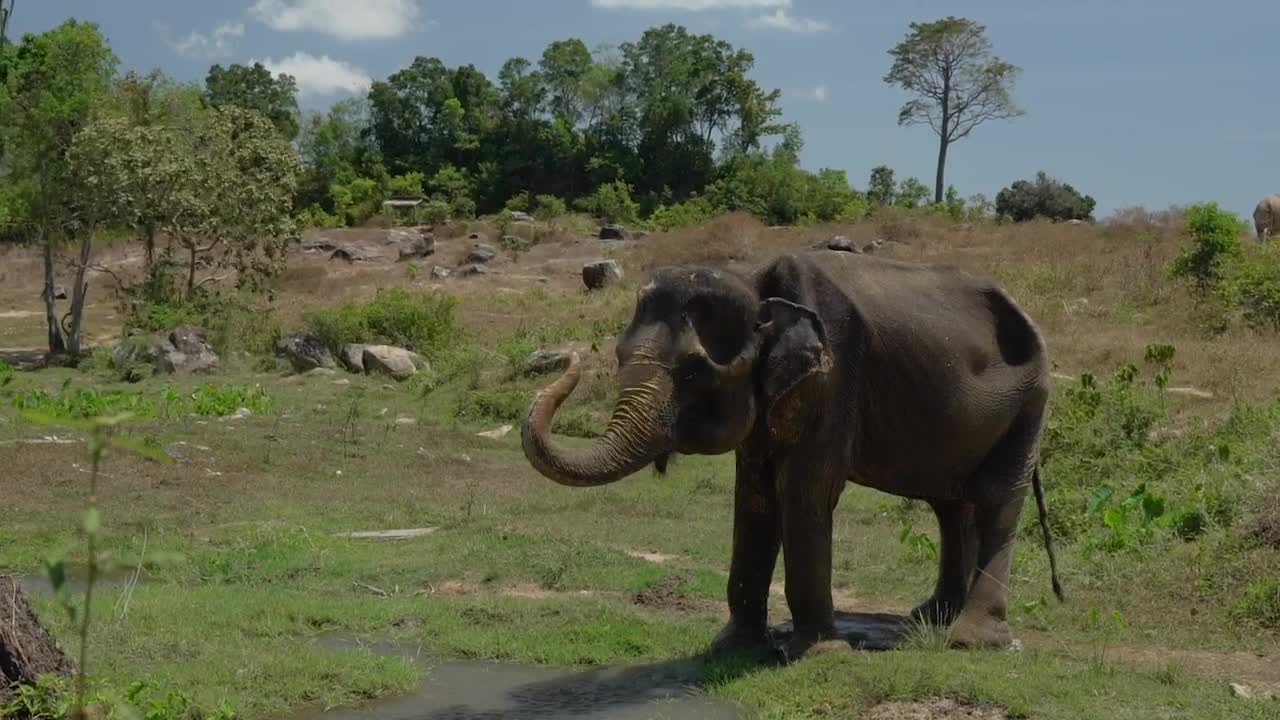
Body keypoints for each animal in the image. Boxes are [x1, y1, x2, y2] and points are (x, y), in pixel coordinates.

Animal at [520, 249, 1064, 661]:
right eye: (618, 355)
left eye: (695, 371)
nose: (569, 361)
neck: (757, 284)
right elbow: (755, 495)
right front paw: (733, 646)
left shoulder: (832, 377)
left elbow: (805, 491)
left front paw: (816, 652)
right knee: (950, 505)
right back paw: (928, 617)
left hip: (1031, 400)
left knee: (996, 499)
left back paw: (971, 639)